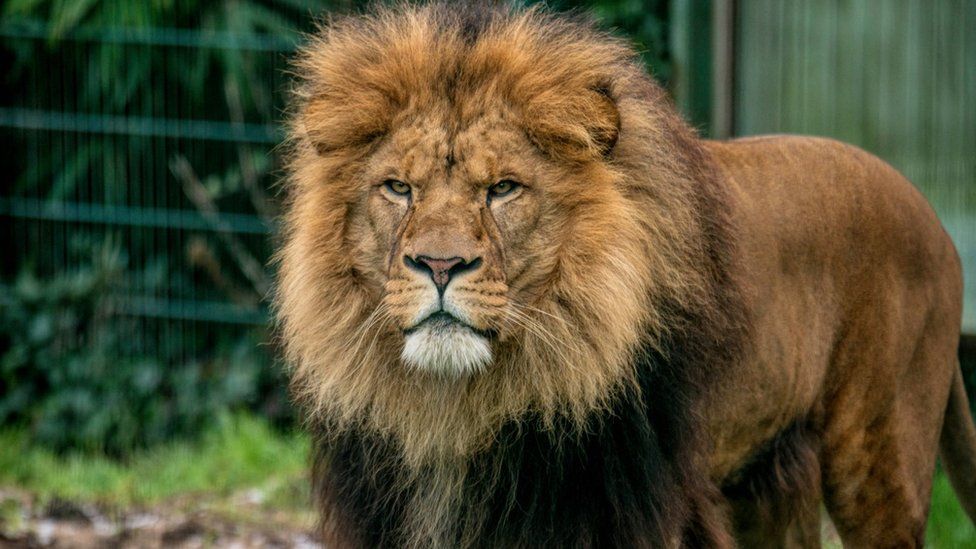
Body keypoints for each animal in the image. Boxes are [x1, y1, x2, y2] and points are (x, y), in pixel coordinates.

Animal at [276, 2, 976, 544]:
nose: (440, 265)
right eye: (398, 188)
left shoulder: (625, 508)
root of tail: (935, 219)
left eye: (503, 189)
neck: (458, 410)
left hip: (877, 461)